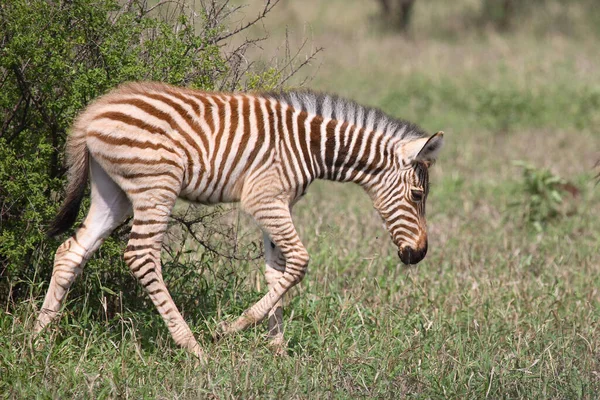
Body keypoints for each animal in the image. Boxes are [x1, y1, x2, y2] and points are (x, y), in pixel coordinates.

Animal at [34, 81, 446, 360]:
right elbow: (299, 263)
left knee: (70, 250)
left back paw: (38, 337)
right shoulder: (264, 198)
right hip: (156, 186)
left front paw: (278, 348)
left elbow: (276, 270)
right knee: (140, 256)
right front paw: (231, 328)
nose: (419, 254)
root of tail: (93, 111)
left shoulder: (277, 202)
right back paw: (193, 347)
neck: (313, 147)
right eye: (417, 196)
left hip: (113, 193)